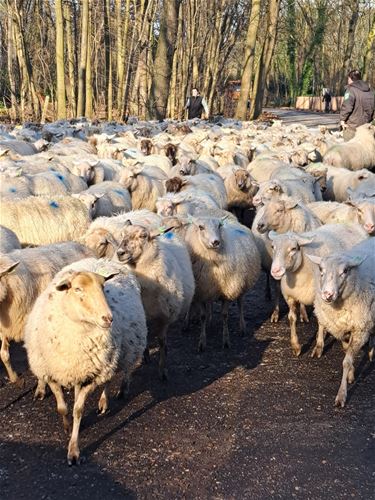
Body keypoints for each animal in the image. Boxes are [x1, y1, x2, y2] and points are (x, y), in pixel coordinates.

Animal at [24, 258, 148, 464]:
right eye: (77, 289)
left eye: (103, 287)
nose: (108, 318)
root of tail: (102, 259)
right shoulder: (51, 373)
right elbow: (62, 408)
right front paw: (67, 426)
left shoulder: (92, 375)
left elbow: (78, 410)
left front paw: (74, 450)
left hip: (115, 356)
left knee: (113, 376)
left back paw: (106, 400)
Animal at [268, 225, 368, 358]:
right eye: (272, 247)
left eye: (293, 248)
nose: (275, 271)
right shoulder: (290, 296)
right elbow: (291, 318)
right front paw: (295, 346)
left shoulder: (320, 299)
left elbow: (320, 322)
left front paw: (319, 347)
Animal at [308, 237, 375, 406]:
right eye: (321, 270)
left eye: (345, 271)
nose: (327, 294)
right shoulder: (343, 329)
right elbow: (347, 352)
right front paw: (351, 375)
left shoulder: (360, 329)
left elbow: (346, 362)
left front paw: (341, 395)